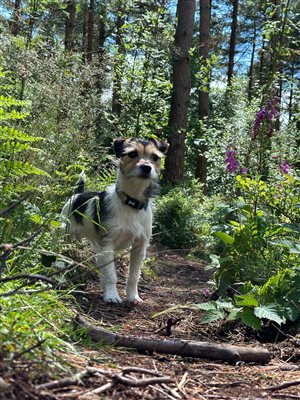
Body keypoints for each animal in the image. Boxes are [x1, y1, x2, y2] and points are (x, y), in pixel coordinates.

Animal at [62, 138, 169, 304]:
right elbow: (112, 275)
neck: (131, 203)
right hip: (65, 232)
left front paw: (132, 296)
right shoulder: (108, 244)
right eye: (132, 154)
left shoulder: (139, 247)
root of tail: (77, 194)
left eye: (155, 157)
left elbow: (134, 275)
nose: (146, 167)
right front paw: (112, 295)